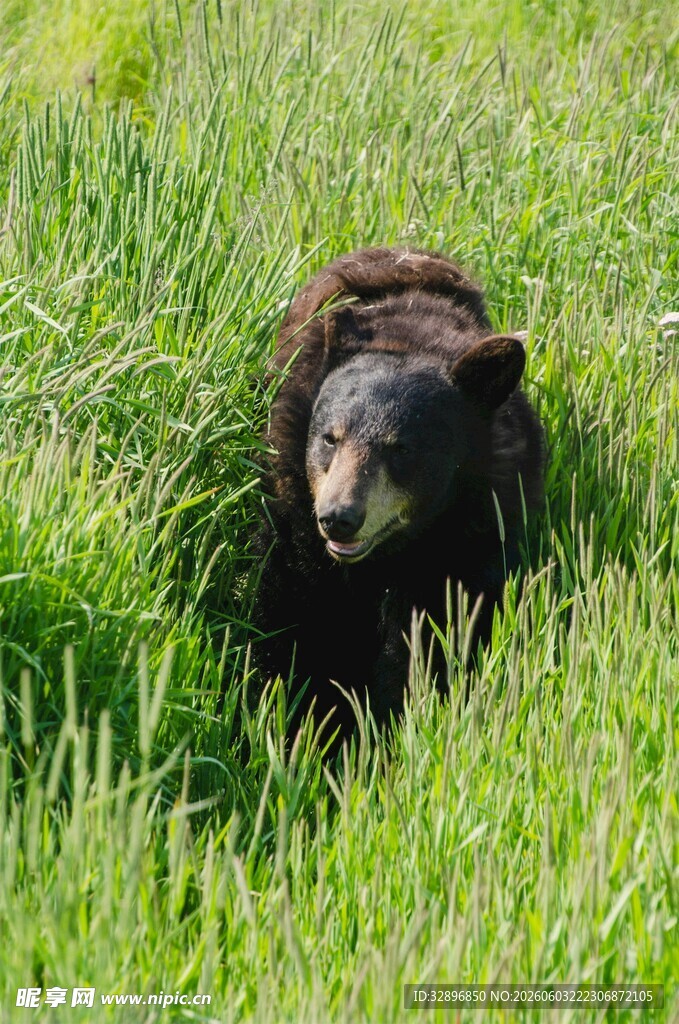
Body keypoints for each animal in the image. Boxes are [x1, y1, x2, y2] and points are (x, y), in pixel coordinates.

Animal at [250, 247, 544, 745]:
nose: (339, 516)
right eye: (330, 438)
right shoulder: (294, 523)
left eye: (401, 448)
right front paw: (298, 729)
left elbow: (429, 641)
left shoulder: (465, 541)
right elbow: (294, 621)